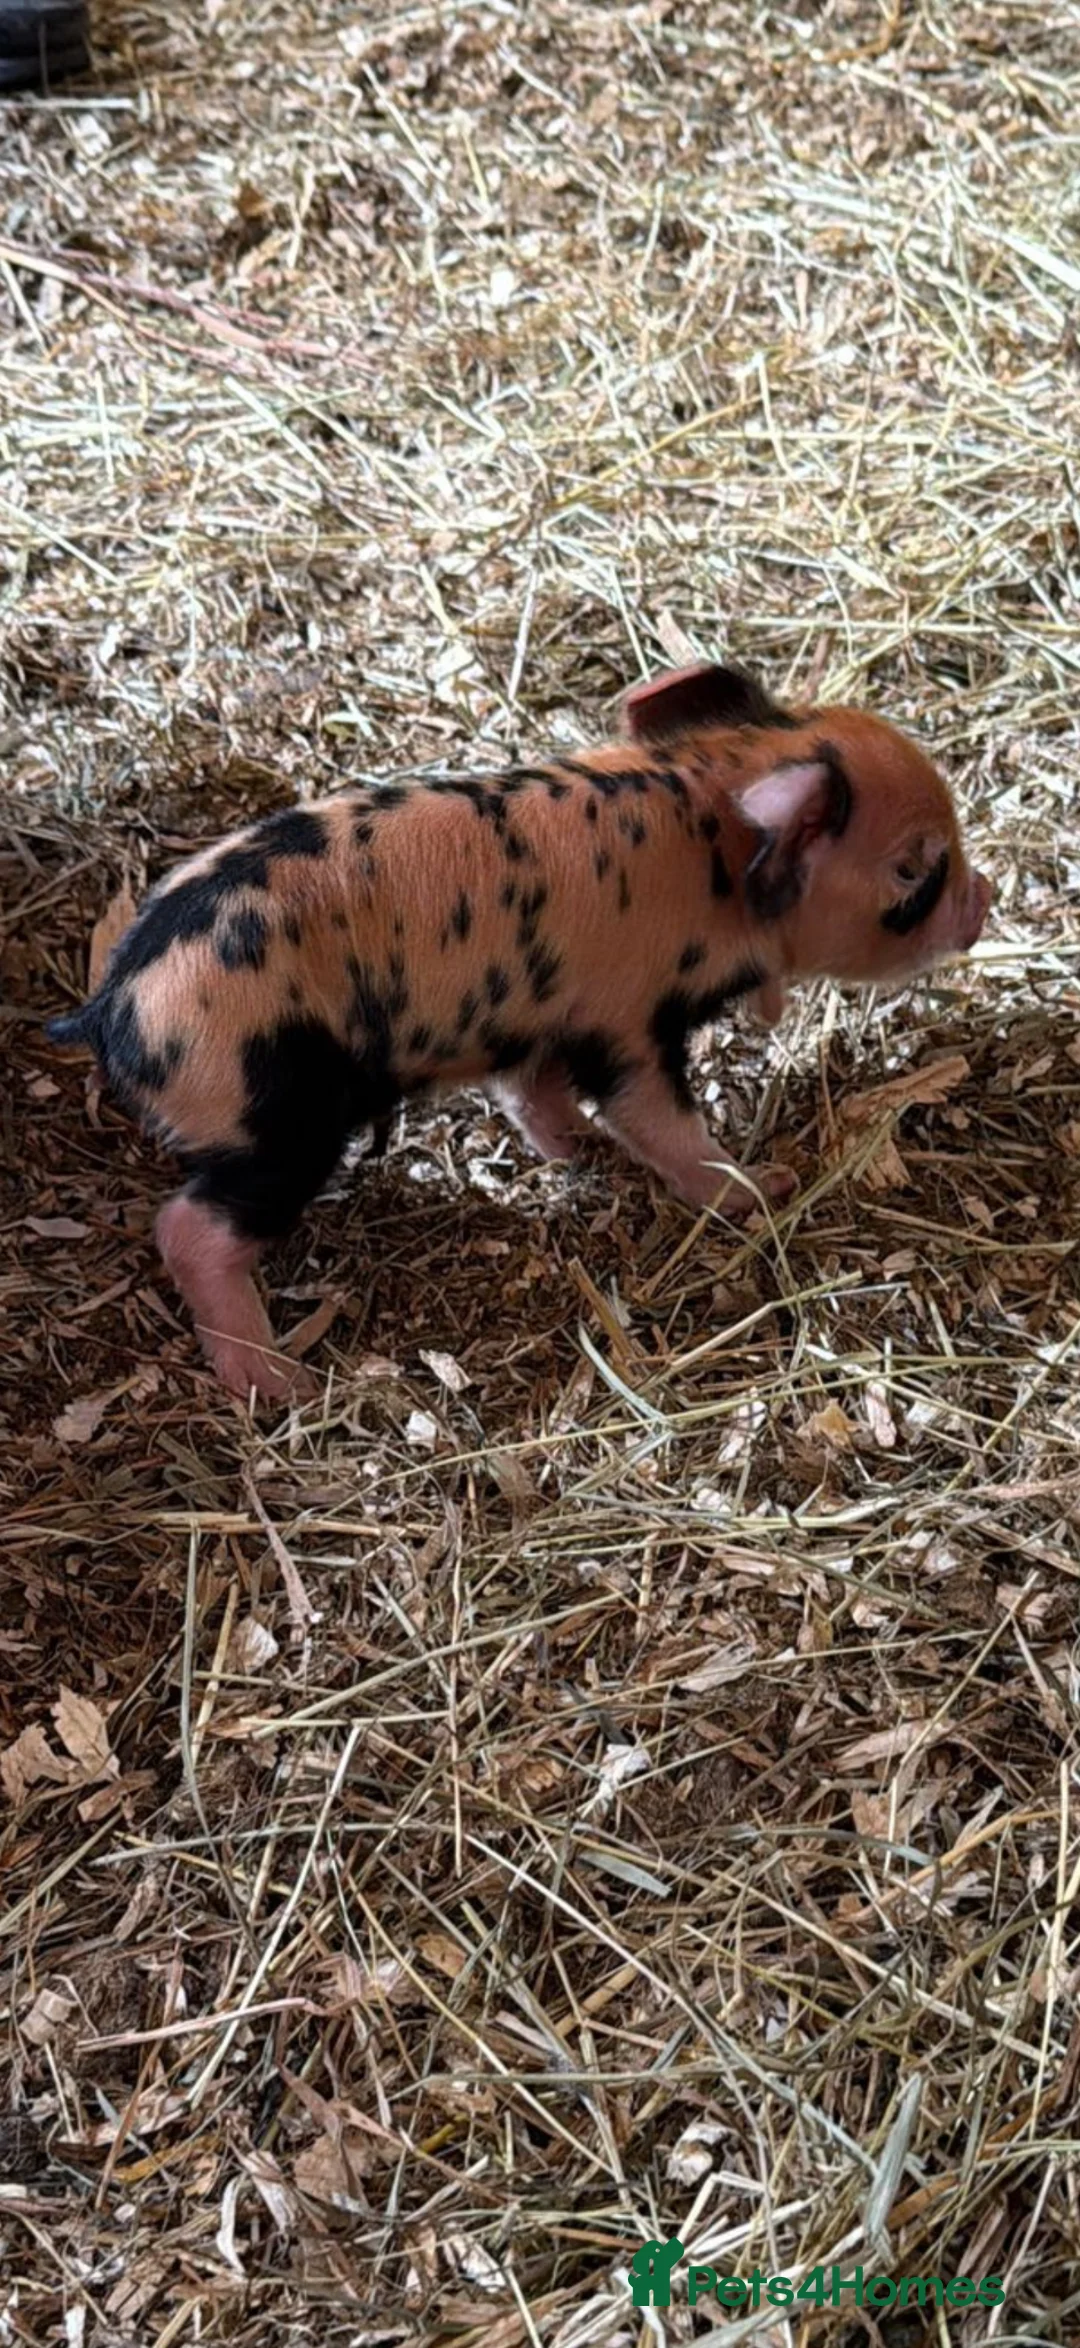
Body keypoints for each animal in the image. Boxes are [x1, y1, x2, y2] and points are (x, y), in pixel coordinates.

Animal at [48, 662, 992, 1403]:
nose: (984, 899)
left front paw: (576, 1152)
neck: (705, 836)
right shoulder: (627, 1022)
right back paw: (277, 1383)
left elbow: (531, 1094)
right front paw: (758, 1187)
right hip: (280, 1120)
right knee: (190, 1229)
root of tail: (115, 1009)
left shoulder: (542, 1018)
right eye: (913, 872)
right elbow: (660, 1123)